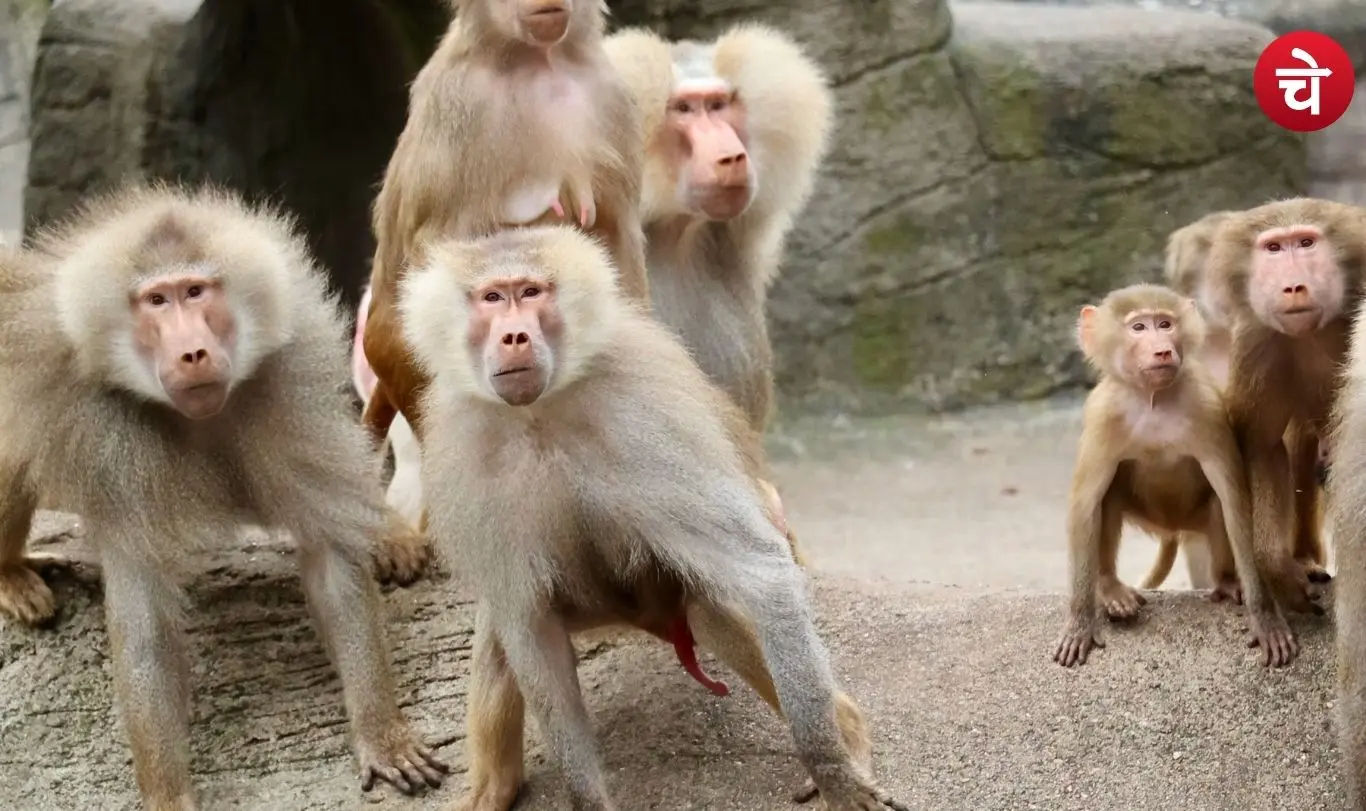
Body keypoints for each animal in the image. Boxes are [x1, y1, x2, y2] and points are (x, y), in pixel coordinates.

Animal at [0, 185, 448, 807]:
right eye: (156, 301)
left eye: (195, 292)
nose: (192, 353)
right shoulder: (112, 435)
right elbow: (145, 622)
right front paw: (169, 793)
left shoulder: (285, 383)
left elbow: (330, 557)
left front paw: (381, 734)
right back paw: (10, 575)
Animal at [401, 225, 903, 810]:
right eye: (491, 297)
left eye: (530, 292)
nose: (515, 338)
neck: (541, 415)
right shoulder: (470, 454)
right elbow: (529, 627)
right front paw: (587, 800)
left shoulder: (646, 417)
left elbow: (761, 575)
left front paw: (834, 772)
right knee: (498, 629)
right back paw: (492, 789)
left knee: (716, 607)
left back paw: (847, 731)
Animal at [1053, 284, 1296, 668]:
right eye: (1139, 328)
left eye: (1165, 324)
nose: (1163, 350)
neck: (1154, 400)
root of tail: (1172, 528)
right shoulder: (1103, 415)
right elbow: (1085, 505)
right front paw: (1080, 621)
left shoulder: (1206, 408)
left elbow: (1234, 500)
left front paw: (1265, 616)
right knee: (1107, 497)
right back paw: (1109, 586)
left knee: (1217, 505)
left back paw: (1227, 581)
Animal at [1205, 197, 1366, 612]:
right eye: (1274, 248)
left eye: (1306, 243)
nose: (1293, 287)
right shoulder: (1258, 341)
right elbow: (1262, 446)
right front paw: (1276, 567)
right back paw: (1302, 560)